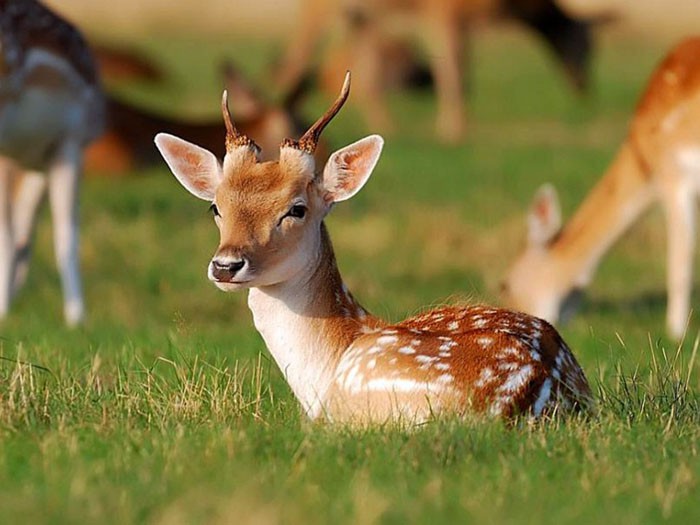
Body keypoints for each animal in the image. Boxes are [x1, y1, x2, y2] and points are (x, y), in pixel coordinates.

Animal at [274, 0, 592, 141]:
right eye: (587, 48)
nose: (584, 88)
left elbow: (460, 75)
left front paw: (455, 125)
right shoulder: (444, 14)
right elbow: (454, 74)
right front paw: (453, 129)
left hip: (359, 18)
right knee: (294, 62)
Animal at [500, 36, 700, 340]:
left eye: (506, 284)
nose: (514, 319)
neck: (644, 163)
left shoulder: (675, 175)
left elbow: (680, 259)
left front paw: (676, 332)